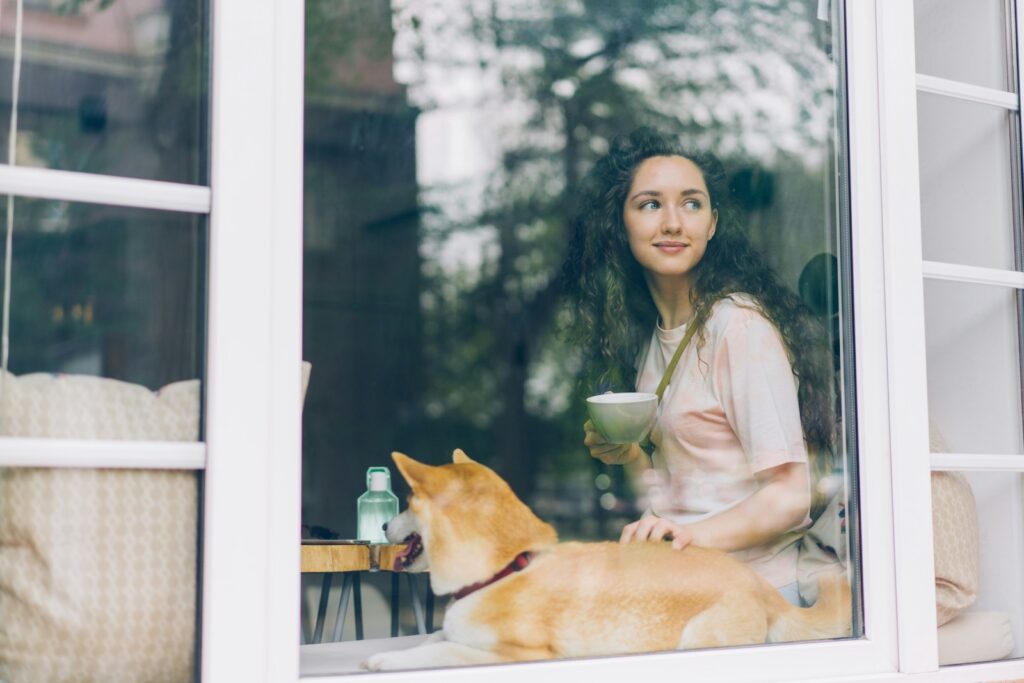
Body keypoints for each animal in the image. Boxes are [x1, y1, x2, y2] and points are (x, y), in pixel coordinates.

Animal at [364, 450, 851, 671]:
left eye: (408, 502)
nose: (383, 526)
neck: (504, 570)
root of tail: (760, 587)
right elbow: (433, 638)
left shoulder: (519, 655)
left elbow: (442, 649)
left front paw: (384, 662)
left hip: (696, 640)